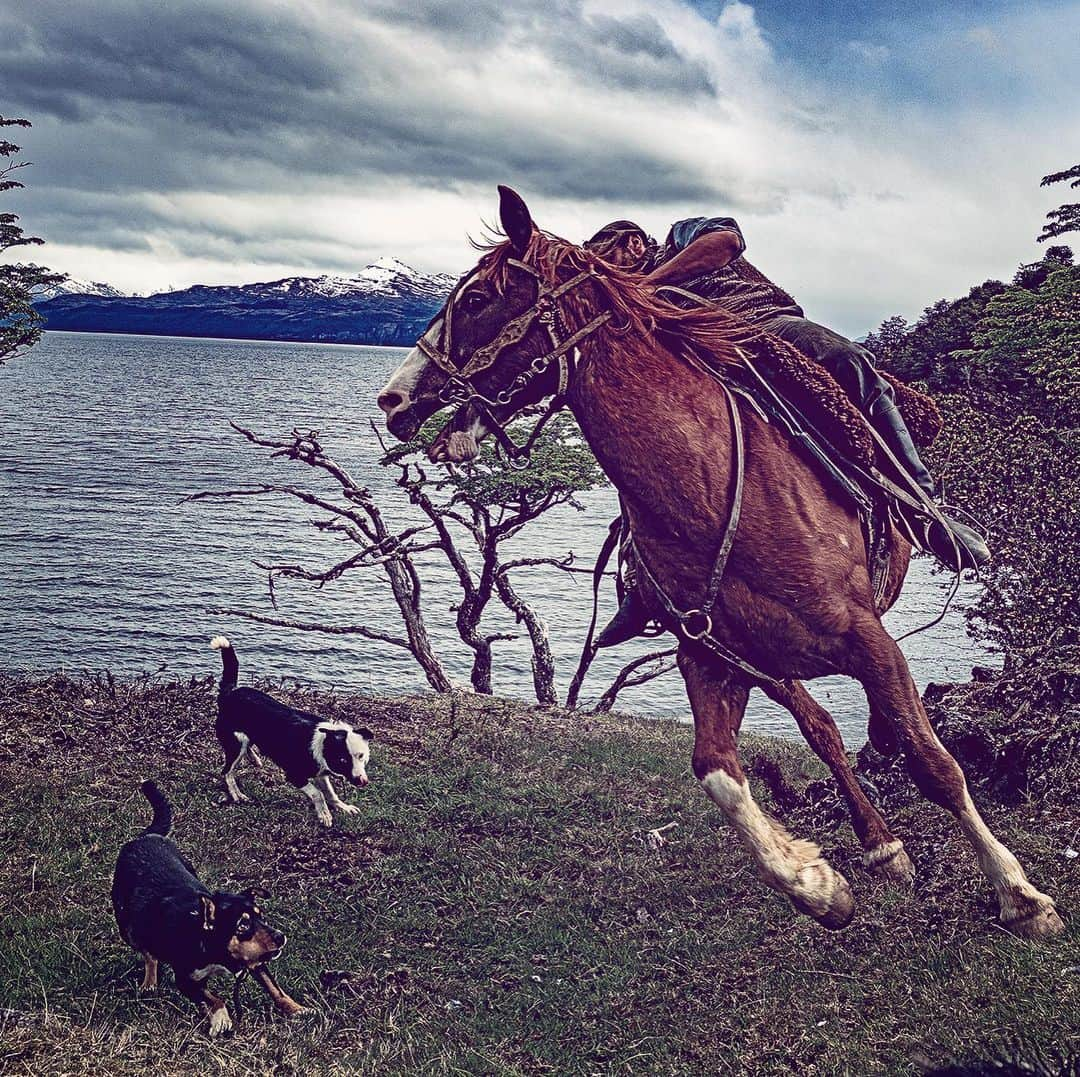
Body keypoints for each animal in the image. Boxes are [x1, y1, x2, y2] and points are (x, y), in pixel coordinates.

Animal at [113, 782, 306, 1032]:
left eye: (261, 916)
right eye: (242, 926)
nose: (280, 937)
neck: (205, 938)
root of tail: (145, 836)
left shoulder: (256, 961)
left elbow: (276, 989)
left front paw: (298, 1010)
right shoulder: (185, 980)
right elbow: (215, 998)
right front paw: (221, 1019)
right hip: (128, 927)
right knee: (148, 954)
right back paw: (149, 982)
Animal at [378, 180, 1062, 937]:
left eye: (475, 299)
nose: (394, 398)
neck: (705, 483)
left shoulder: (869, 639)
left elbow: (934, 764)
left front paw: (1021, 896)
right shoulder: (709, 655)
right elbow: (716, 770)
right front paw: (815, 883)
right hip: (766, 654)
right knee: (820, 729)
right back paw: (880, 844)